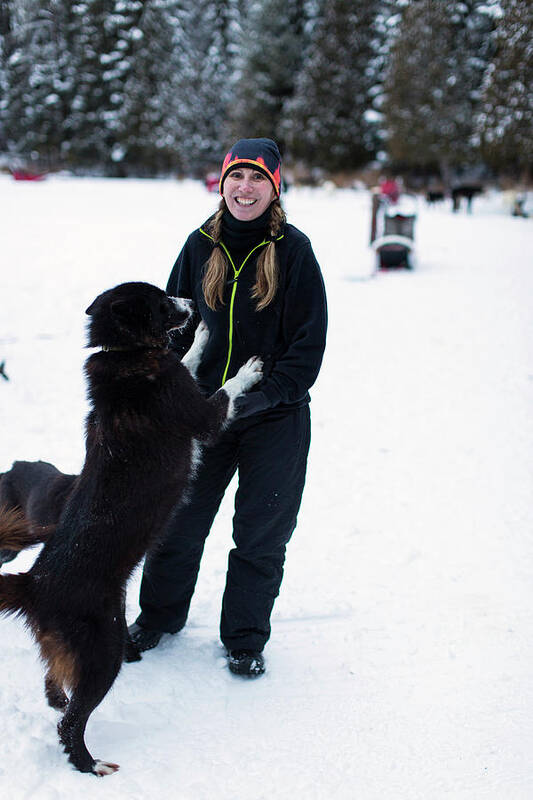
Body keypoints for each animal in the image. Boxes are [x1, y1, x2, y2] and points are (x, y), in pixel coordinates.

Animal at [0, 282, 262, 776]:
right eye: (161, 302)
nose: (194, 305)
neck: (125, 353)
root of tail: (34, 583)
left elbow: (190, 359)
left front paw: (200, 340)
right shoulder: (202, 417)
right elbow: (225, 389)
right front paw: (249, 369)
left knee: (54, 686)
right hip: (105, 652)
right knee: (70, 723)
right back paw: (89, 764)